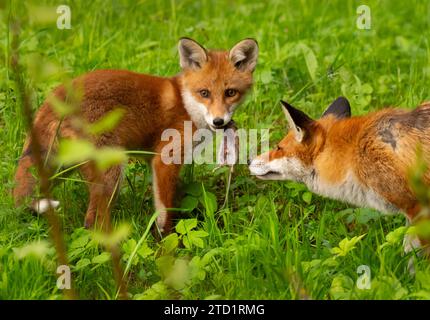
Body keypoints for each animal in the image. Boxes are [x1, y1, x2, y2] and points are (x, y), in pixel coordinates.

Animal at [13, 37, 258, 234]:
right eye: (204, 93)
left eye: (230, 93)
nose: (219, 122)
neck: (186, 104)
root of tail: (52, 101)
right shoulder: (165, 159)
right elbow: (165, 213)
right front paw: (168, 244)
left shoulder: (158, 163)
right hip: (111, 172)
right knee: (92, 221)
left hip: (62, 168)